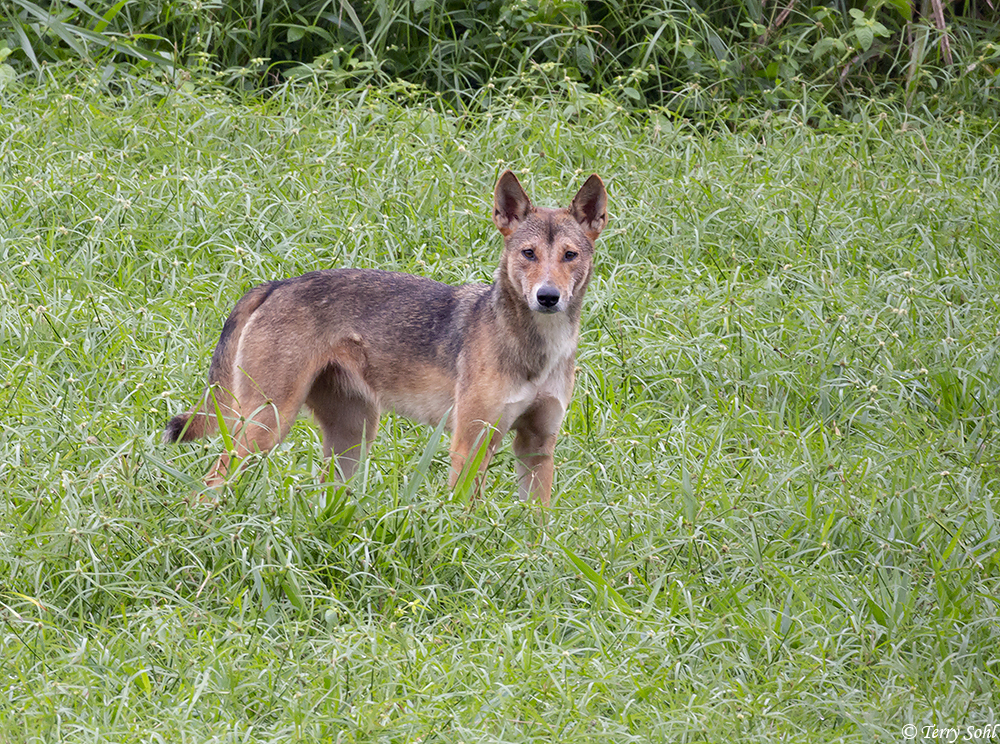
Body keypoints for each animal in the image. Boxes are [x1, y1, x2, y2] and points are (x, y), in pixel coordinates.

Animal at [162, 169, 608, 506]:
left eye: (569, 256)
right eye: (528, 254)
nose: (547, 297)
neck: (538, 350)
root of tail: (275, 284)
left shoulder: (538, 446)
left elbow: (538, 528)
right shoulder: (470, 445)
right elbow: (465, 518)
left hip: (351, 439)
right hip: (265, 429)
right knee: (208, 485)